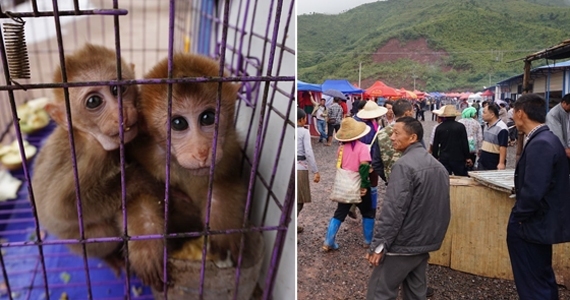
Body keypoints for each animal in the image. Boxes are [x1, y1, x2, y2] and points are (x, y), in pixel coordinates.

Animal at [32, 43, 202, 290]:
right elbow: (62, 206)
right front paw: (151, 182)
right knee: (101, 230)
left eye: (117, 89)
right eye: (94, 101)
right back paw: (109, 257)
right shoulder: (93, 157)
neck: (88, 137)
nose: (122, 113)